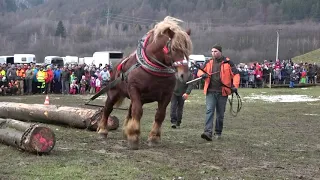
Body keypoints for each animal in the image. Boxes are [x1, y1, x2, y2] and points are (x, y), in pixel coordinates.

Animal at [97, 16, 192, 149]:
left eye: (187, 50)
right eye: (174, 48)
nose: (185, 75)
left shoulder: (167, 95)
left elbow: (160, 115)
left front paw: (153, 137)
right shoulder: (134, 89)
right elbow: (137, 111)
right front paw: (133, 137)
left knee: (130, 111)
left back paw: (126, 131)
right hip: (113, 92)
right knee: (108, 108)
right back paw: (103, 131)